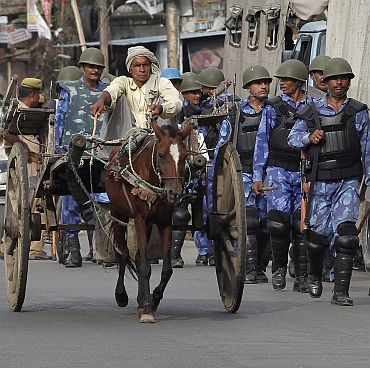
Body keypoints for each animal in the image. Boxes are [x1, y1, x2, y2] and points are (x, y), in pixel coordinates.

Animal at [102, 120, 192, 322]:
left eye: (184, 156)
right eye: (161, 155)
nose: (174, 192)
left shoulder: (164, 222)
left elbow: (166, 270)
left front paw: (153, 299)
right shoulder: (140, 219)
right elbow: (144, 266)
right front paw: (148, 310)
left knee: (135, 256)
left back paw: (141, 301)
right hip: (118, 213)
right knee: (123, 254)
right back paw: (122, 295)